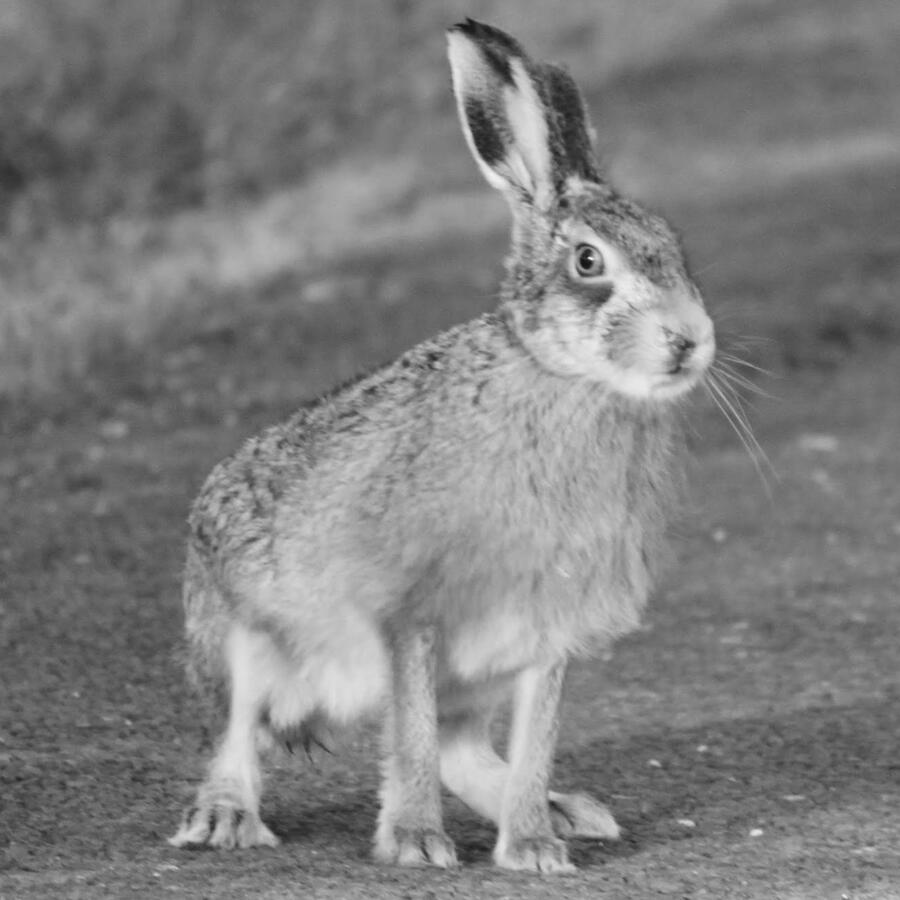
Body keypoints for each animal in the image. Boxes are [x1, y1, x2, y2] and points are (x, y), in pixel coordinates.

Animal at [168, 18, 715, 874]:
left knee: (467, 751)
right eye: (589, 262)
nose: (691, 341)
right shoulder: (410, 620)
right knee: (236, 735)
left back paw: (567, 815)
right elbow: (411, 737)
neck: (559, 376)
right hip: (242, 642)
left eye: (673, 248)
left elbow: (532, 742)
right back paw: (226, 820)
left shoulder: (543, 636)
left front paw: (532, 849)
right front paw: (416, 844)